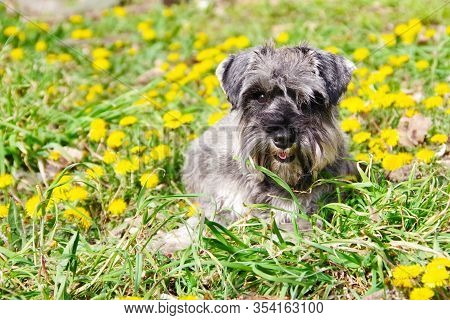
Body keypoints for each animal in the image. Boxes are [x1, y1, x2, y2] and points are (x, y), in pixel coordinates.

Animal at [153, 42, 356, 254]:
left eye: (310, 100)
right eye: (260, 96)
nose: (283, 138)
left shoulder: (306, 207)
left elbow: (296, 224)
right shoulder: (224, 200)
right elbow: (204, 220)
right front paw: (174, 240)